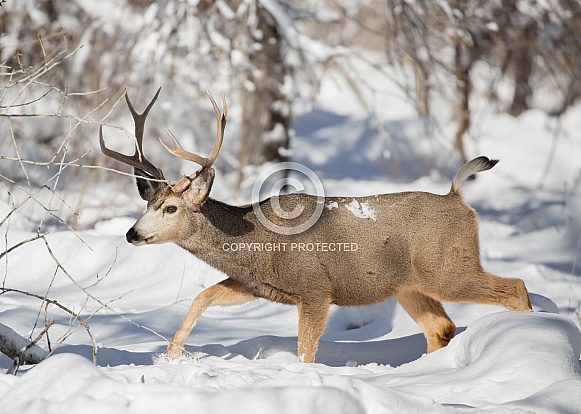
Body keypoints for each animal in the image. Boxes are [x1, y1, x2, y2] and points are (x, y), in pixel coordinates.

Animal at [99, 88, 532, 362]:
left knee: (515, 287)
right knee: (440, 327)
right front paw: (170, 356)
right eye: (148, 202)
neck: (257, 241)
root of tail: (458, 198)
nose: (132, 233)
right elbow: (201, 297)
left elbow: (306, 349)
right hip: (409, 284)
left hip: (448, 267)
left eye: (171, 208)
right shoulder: (256, 284)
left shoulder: (315, 288)